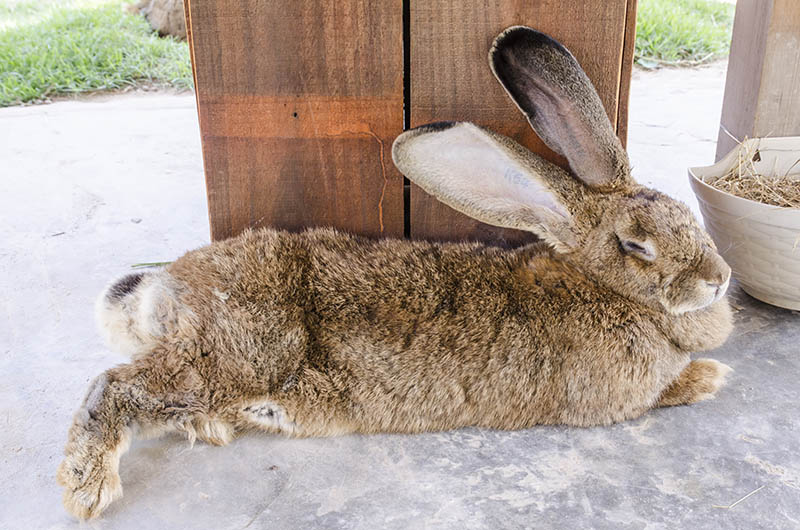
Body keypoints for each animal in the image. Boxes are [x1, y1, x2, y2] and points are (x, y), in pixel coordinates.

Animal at [54, 26, 732, 516]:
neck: (606, 288)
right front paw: (712, 376)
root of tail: (164, 290)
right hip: (235, 353)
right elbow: (669, 388)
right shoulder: (618, 396)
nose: (720, 278)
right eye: (636, 245)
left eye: (687, 215)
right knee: (114, 386)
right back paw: (87, 488)